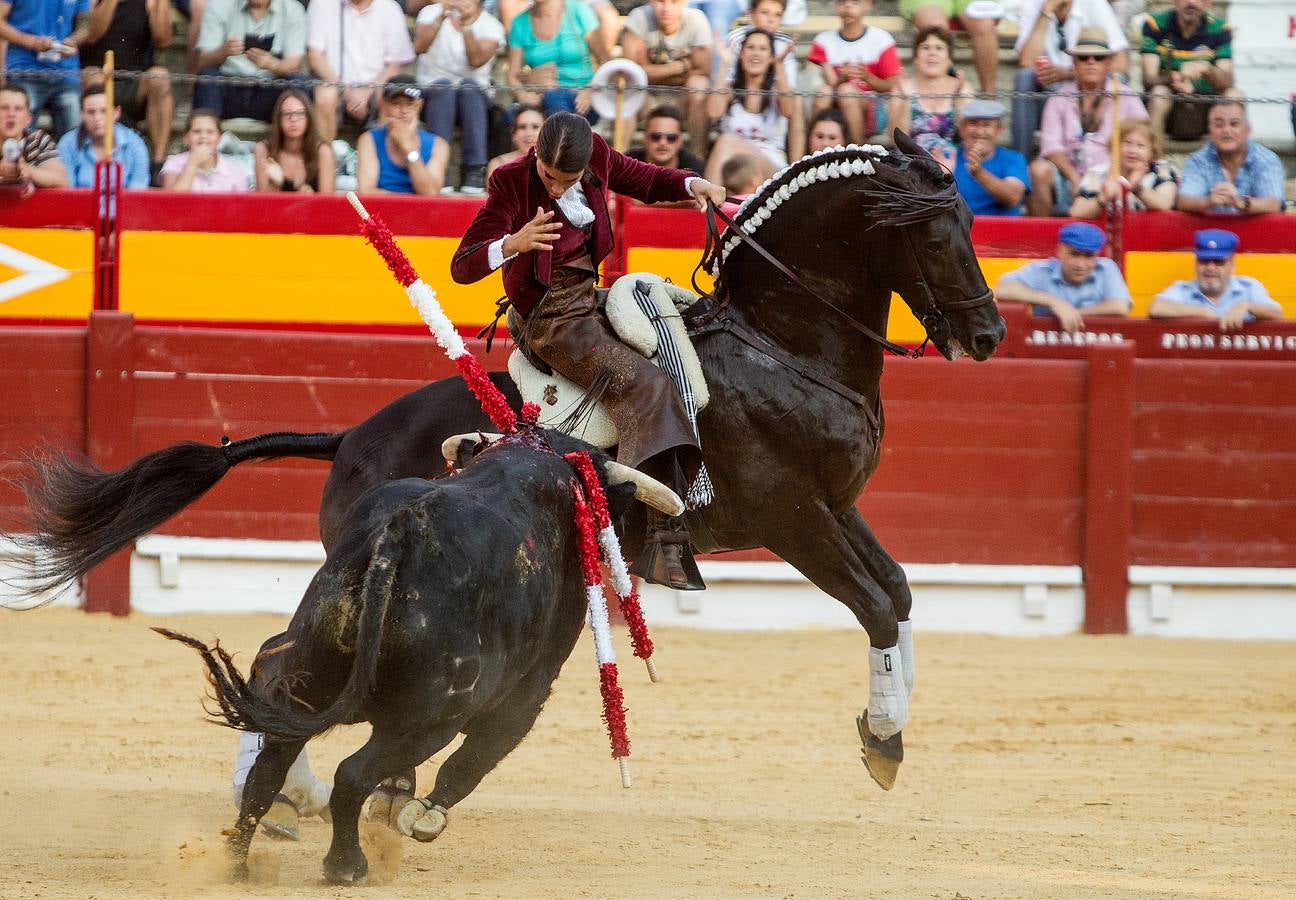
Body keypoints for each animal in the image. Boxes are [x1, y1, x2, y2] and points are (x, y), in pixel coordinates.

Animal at [7, 134, 1000, 788]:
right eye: (938, 230)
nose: (989, 335)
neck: (782, 343)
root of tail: (349, 436)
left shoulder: (835, 508)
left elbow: (900, 591)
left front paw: (885, 732)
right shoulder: (791, 517)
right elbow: (875, 603)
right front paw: (883, 741)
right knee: (288, 660)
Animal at [158, 433, 653, 887]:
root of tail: (398, 535)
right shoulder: (527, 695)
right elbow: (474, 760)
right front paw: (424, 817)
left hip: (305, 681)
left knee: (269, 771)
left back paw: (238, 866)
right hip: (430, 721)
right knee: (352, 775)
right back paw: (346, 865)